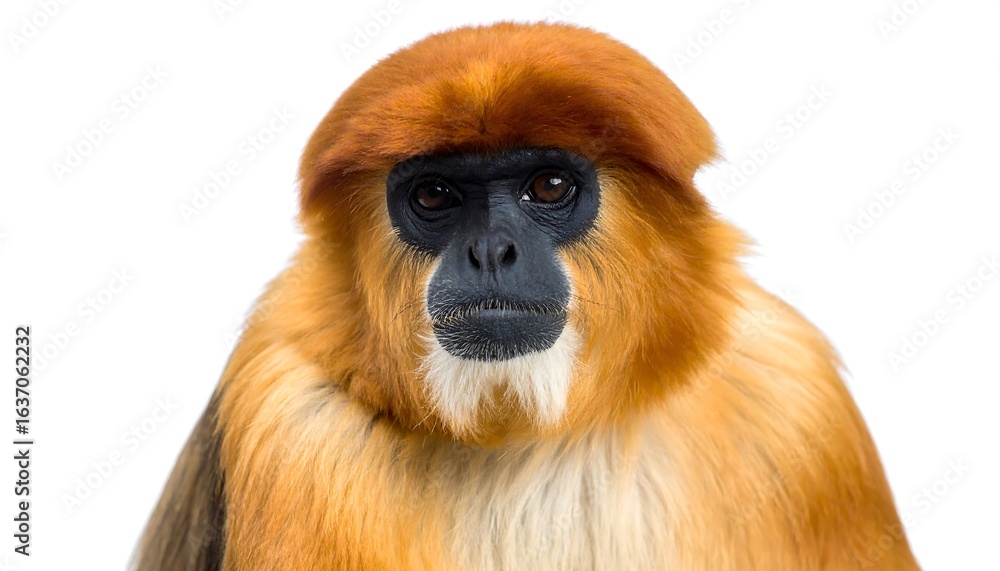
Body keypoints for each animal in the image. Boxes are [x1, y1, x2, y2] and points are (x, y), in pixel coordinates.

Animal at [134, 22, 920, 571]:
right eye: (435, 195)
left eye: (548, 186)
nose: (490, 251)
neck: (526, 435)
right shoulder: (287, 417)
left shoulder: (798, 402)